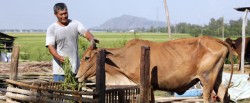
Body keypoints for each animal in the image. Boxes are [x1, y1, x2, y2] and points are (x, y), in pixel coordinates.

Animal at [76, 36, 234, 103]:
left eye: (87, 57)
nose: (77, 76)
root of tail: (217, 40)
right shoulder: (151, 86)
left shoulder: (143, 85)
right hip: (216, 79)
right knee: (224, 95)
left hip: (206, 80)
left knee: (208, 98)